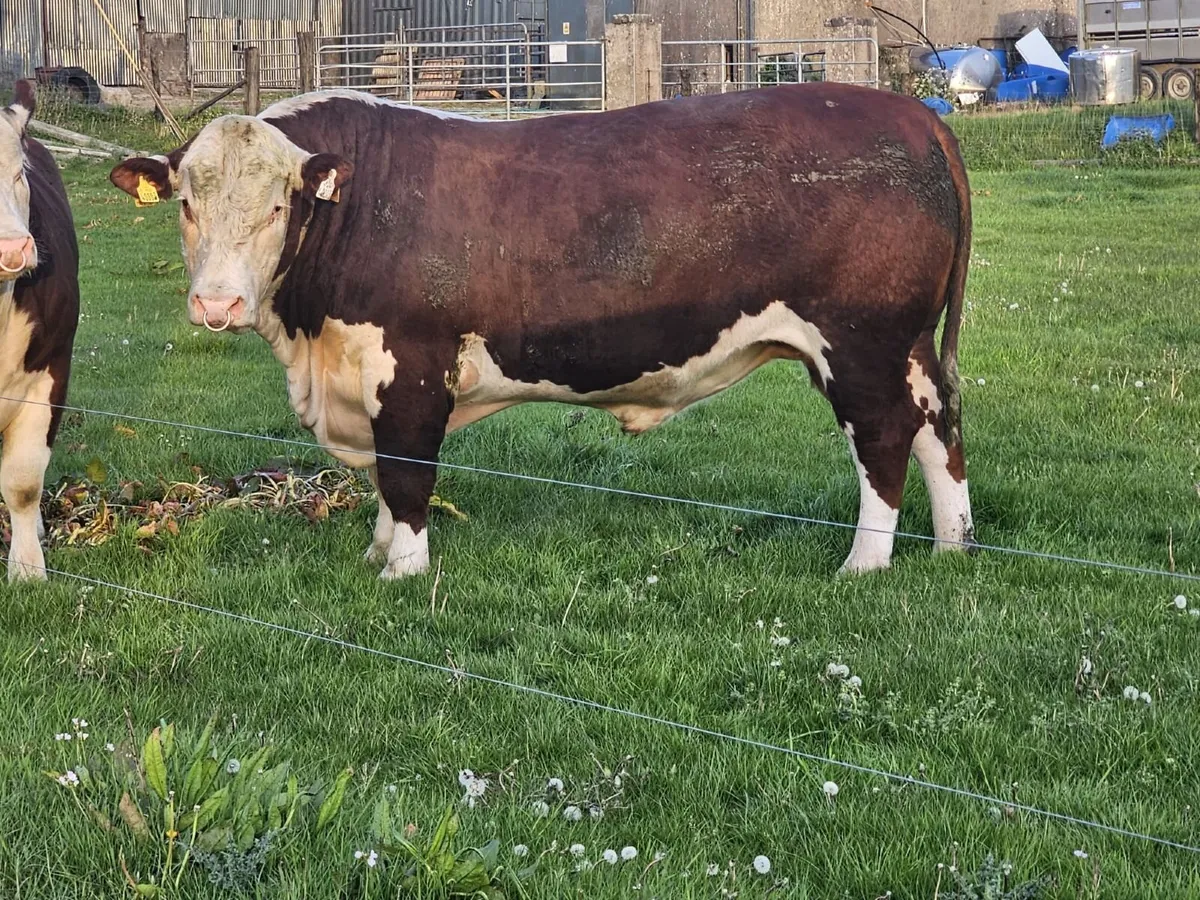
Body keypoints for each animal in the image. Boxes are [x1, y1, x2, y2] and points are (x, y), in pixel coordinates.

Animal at [109, 84, 975, 580]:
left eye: (278, 206)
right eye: (185, 204)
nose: (216, 303)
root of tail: (912, 114)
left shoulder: (413, 365)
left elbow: (407, 473)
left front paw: (402, 571)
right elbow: (385, 480)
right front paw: (377, 551)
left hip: (859, 343)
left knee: (885, 437)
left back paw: (865, 564)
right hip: (907, 344)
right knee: (939, 423)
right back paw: (953, 544)